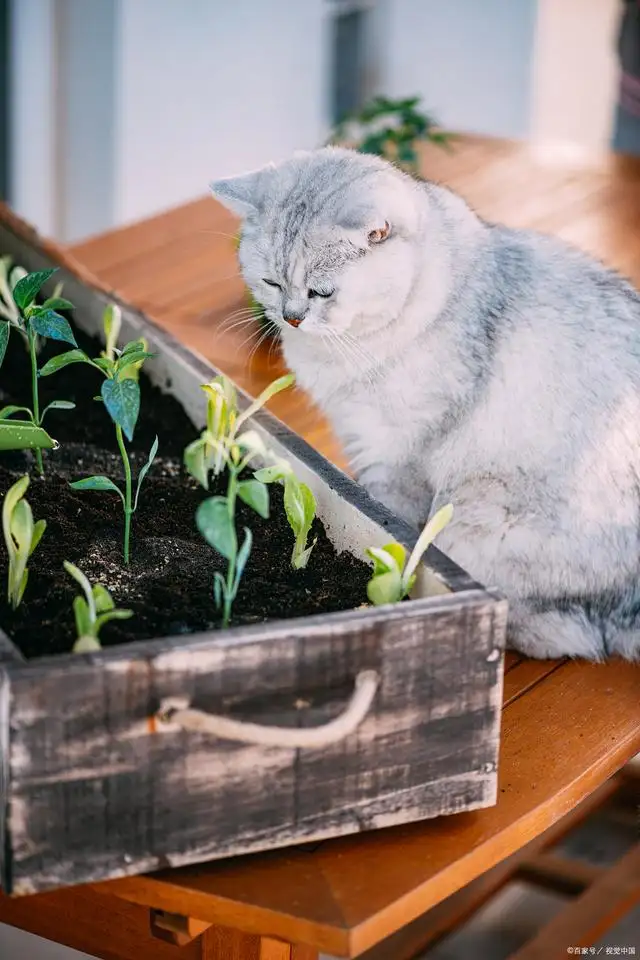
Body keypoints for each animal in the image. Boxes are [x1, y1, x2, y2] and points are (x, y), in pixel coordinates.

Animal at [211, 148, 640, 660]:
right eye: (271, 283)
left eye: (322, 292)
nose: (291, 318)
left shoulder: (396, 457)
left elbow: (388, 526)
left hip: (476, 522)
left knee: (564, 634)